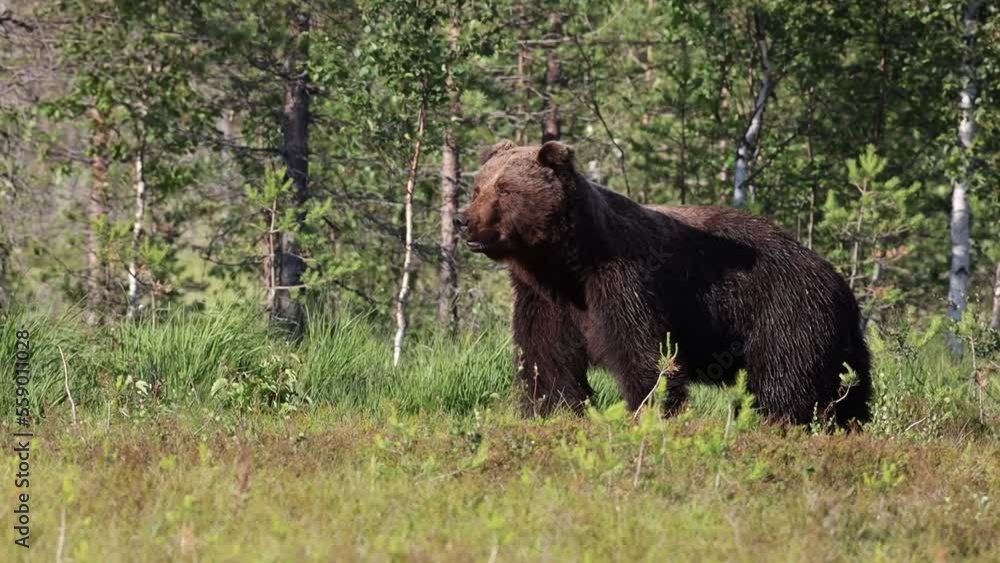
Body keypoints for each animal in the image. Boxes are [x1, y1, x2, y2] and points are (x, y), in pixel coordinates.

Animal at [456, 140, 872, 426]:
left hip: (784, 310)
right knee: (850, 386)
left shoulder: (622, 281)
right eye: (478, 187)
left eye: (505, 189)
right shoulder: (544, 298)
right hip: (836, 335)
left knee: (785, 377)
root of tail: (836, 279)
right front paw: (555, 410)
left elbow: (644, 353)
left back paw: (773, 420)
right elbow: (547, 358)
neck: (564, 263)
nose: (463, 220)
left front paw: (650, 411)